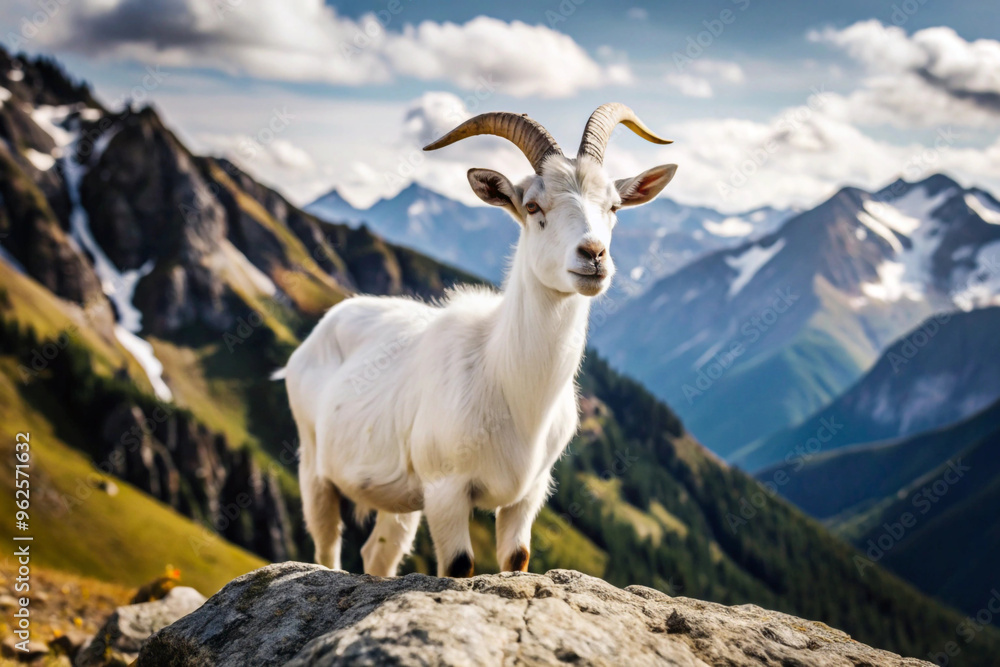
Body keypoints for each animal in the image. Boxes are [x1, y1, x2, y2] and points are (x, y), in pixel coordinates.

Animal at [280, 104, 677, 577]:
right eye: (533, 205)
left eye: (614, 205)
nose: (593, 255)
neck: (506, 380)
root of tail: (325, 326)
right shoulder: (445, 489)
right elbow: (459, 566)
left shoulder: (529, 495)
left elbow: (517, 559)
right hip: (315, 467)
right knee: (326, 551)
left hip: (400, 497)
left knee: (377, 553)